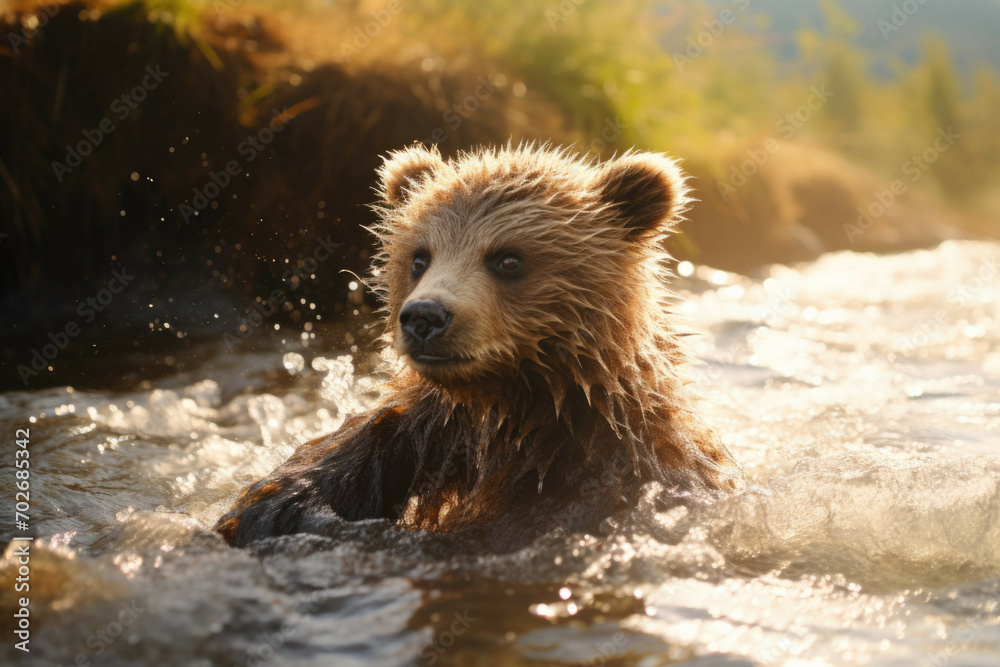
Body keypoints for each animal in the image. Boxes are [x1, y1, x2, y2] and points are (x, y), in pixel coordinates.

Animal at [215, 143, 743, 551]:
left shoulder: (623, 469)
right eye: (420, 257)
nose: (425, 316)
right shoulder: (418, 431)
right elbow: (281, 498)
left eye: (508, 259)